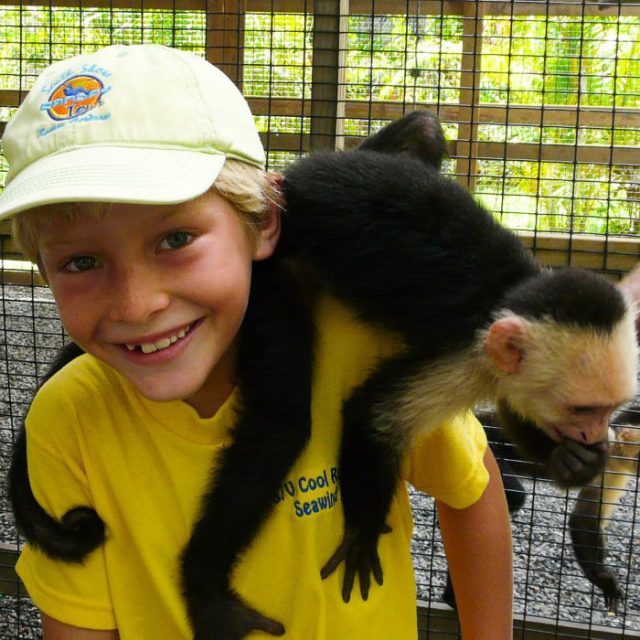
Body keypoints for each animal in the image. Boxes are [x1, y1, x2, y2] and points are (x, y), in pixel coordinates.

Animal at [279, 149, 639, 603]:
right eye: (583, 409)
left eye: (610, 409)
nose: (596, 435)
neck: (507, 300)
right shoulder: (467, 356)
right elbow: (375, 415)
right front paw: (363, 532)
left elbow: (511, 407)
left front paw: (573, 462)